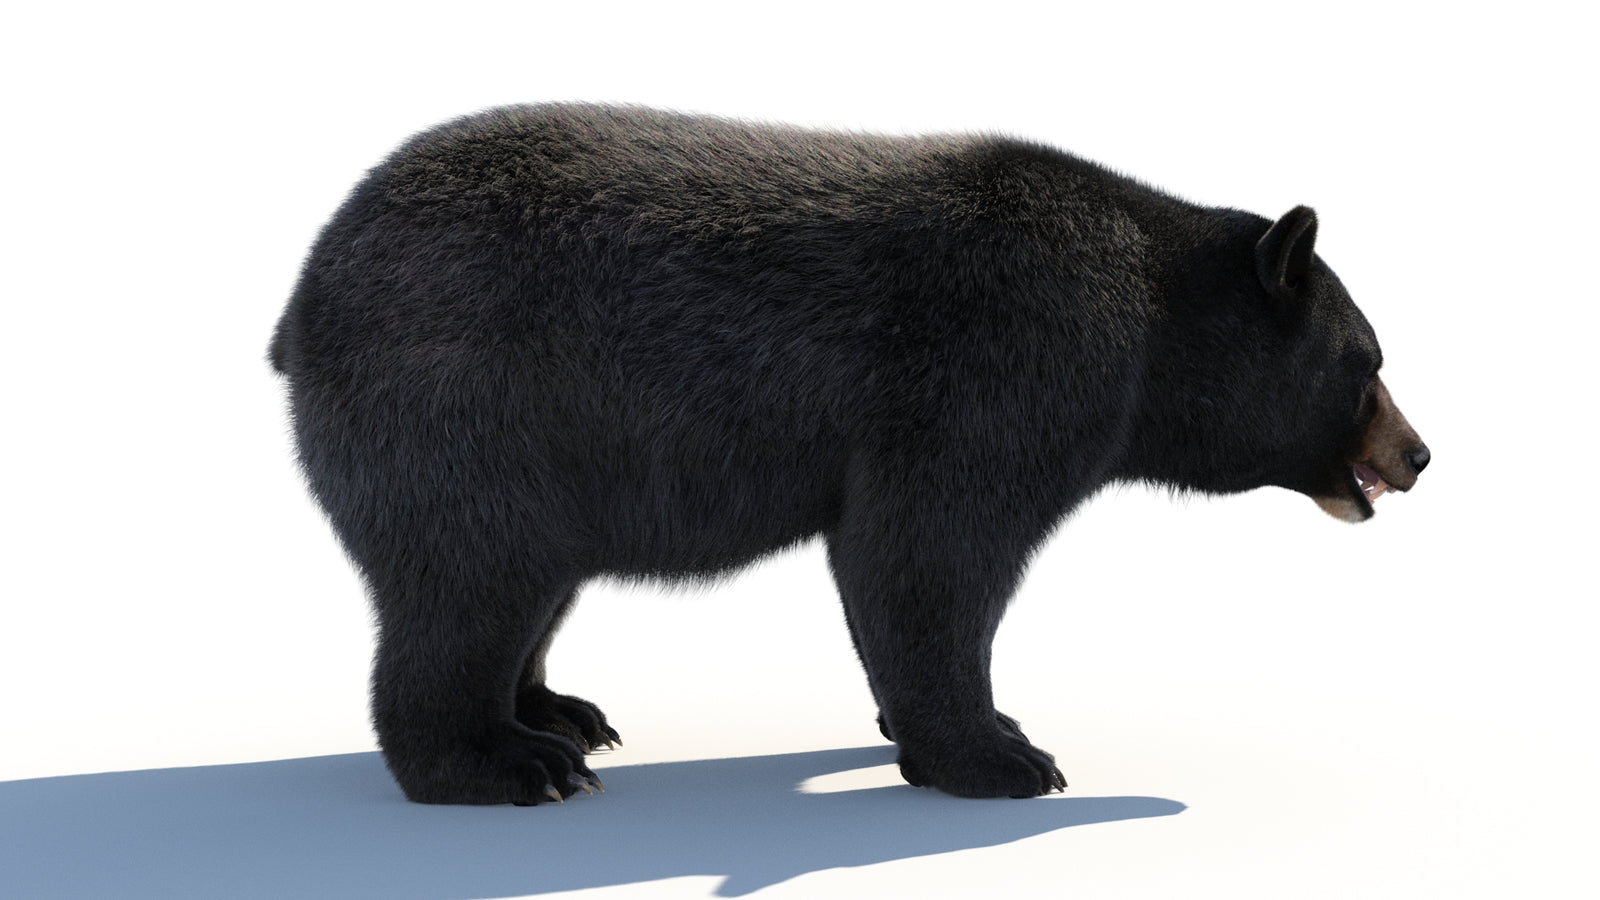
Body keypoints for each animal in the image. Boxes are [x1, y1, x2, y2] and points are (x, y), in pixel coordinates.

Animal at [269, 103, 1429, 805]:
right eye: (1365, 359)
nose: (1420, 455)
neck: (1147, 314)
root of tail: (302, 296)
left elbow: (888, 567)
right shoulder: (1009, 354)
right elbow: (932, 547)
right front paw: (1003, 755)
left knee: (527, 580)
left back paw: (559, 712)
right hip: (464, 404)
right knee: (470, 573)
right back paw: (503, 761)